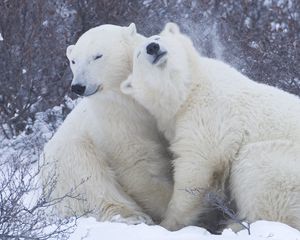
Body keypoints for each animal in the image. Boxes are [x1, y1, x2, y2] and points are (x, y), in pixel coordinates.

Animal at [42, 23, 173, 224]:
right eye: (74, 61)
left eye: (97, 56)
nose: (78, 86)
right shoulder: (117, 118)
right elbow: (138, 163)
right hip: (66, 161)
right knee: (89, 176)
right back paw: (132, 216)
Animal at [120, 23, 300, 232]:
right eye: (138, 54)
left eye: (157, 38)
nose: (152, 48)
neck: (188, 89)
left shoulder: (210, 112)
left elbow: (197, 165)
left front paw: (168, 223)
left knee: (255, 164)